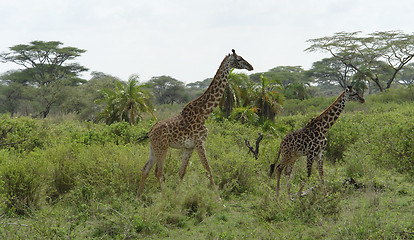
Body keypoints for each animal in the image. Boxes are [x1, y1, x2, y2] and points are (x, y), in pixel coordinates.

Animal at [137, 49, 252, 198]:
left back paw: (138, 197)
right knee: (158, 172)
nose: (251, 67)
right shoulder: (200, 142)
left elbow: (182, 172)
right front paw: (219, 199)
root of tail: (150, 131)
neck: (204, 113)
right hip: (162, 147)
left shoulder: (189, 147)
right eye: (239, 59)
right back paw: (164, 197)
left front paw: (176, 196)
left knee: (145, 169)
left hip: (153, 147)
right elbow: (208, 170)